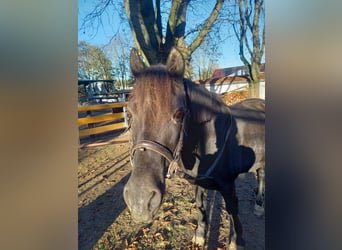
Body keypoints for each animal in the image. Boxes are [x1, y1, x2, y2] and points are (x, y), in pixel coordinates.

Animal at [123, 47, 264, 250]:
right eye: (129, 113)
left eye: (179, 114)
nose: (140, 200)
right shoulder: (198, 183)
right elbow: (200, 206)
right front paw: (199, 235)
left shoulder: (228, 185)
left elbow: (232, 210)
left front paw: (236, 241)